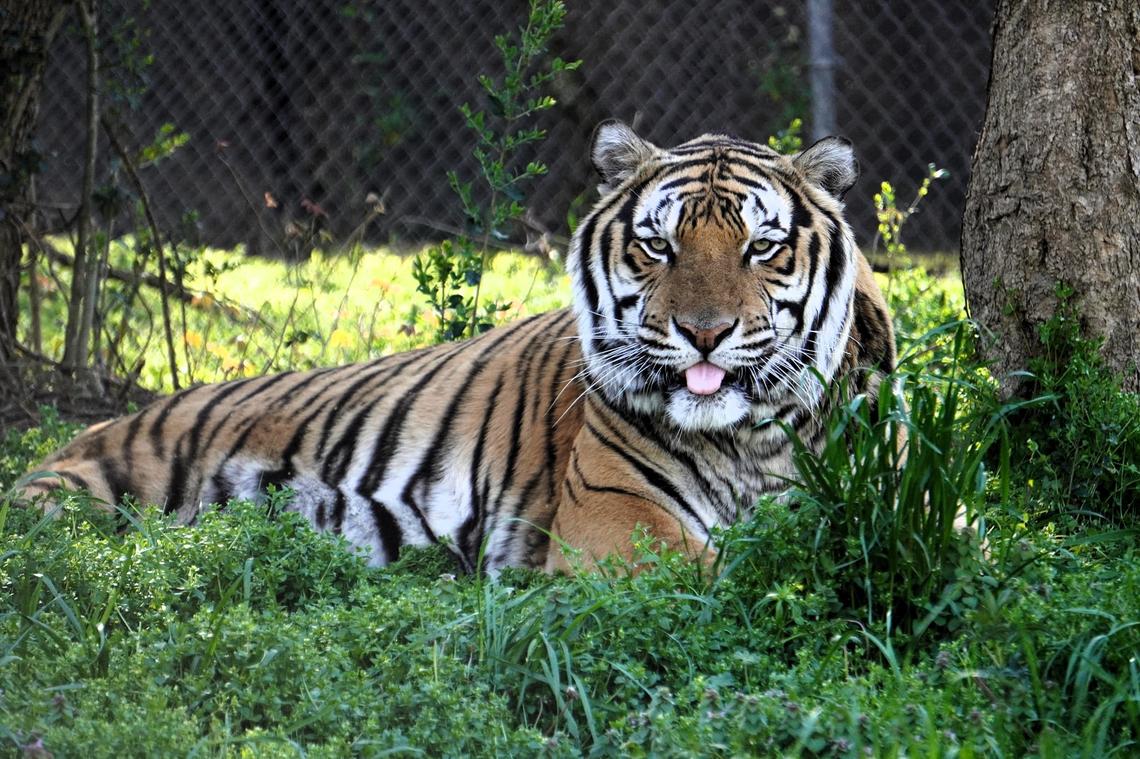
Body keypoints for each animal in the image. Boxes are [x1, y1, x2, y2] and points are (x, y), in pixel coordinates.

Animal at [21, 121, 895, 574]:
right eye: (659, 246)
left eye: (760, 247)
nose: (704, 332)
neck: (749, 439)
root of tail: (86, 428)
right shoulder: (616, 518)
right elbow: (729, 572)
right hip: (80, 498)